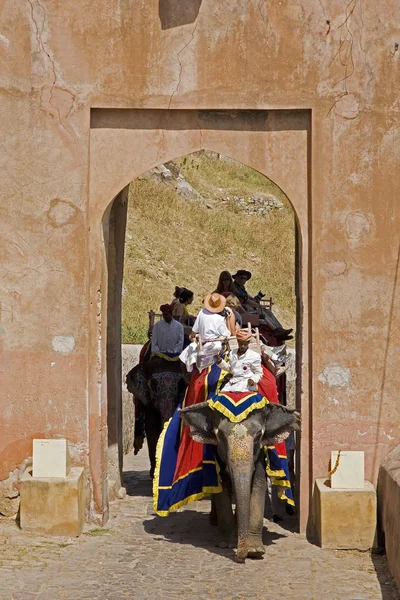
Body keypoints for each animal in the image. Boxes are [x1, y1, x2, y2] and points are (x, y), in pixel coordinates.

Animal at [179, 398, 300, 564]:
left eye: (258, 435)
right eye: (220, 436)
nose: (240, 559)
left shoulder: (259, 455)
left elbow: (258, 486)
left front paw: (255, 551)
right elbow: (222, 489)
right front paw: (226, 545)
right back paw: (214, 521)